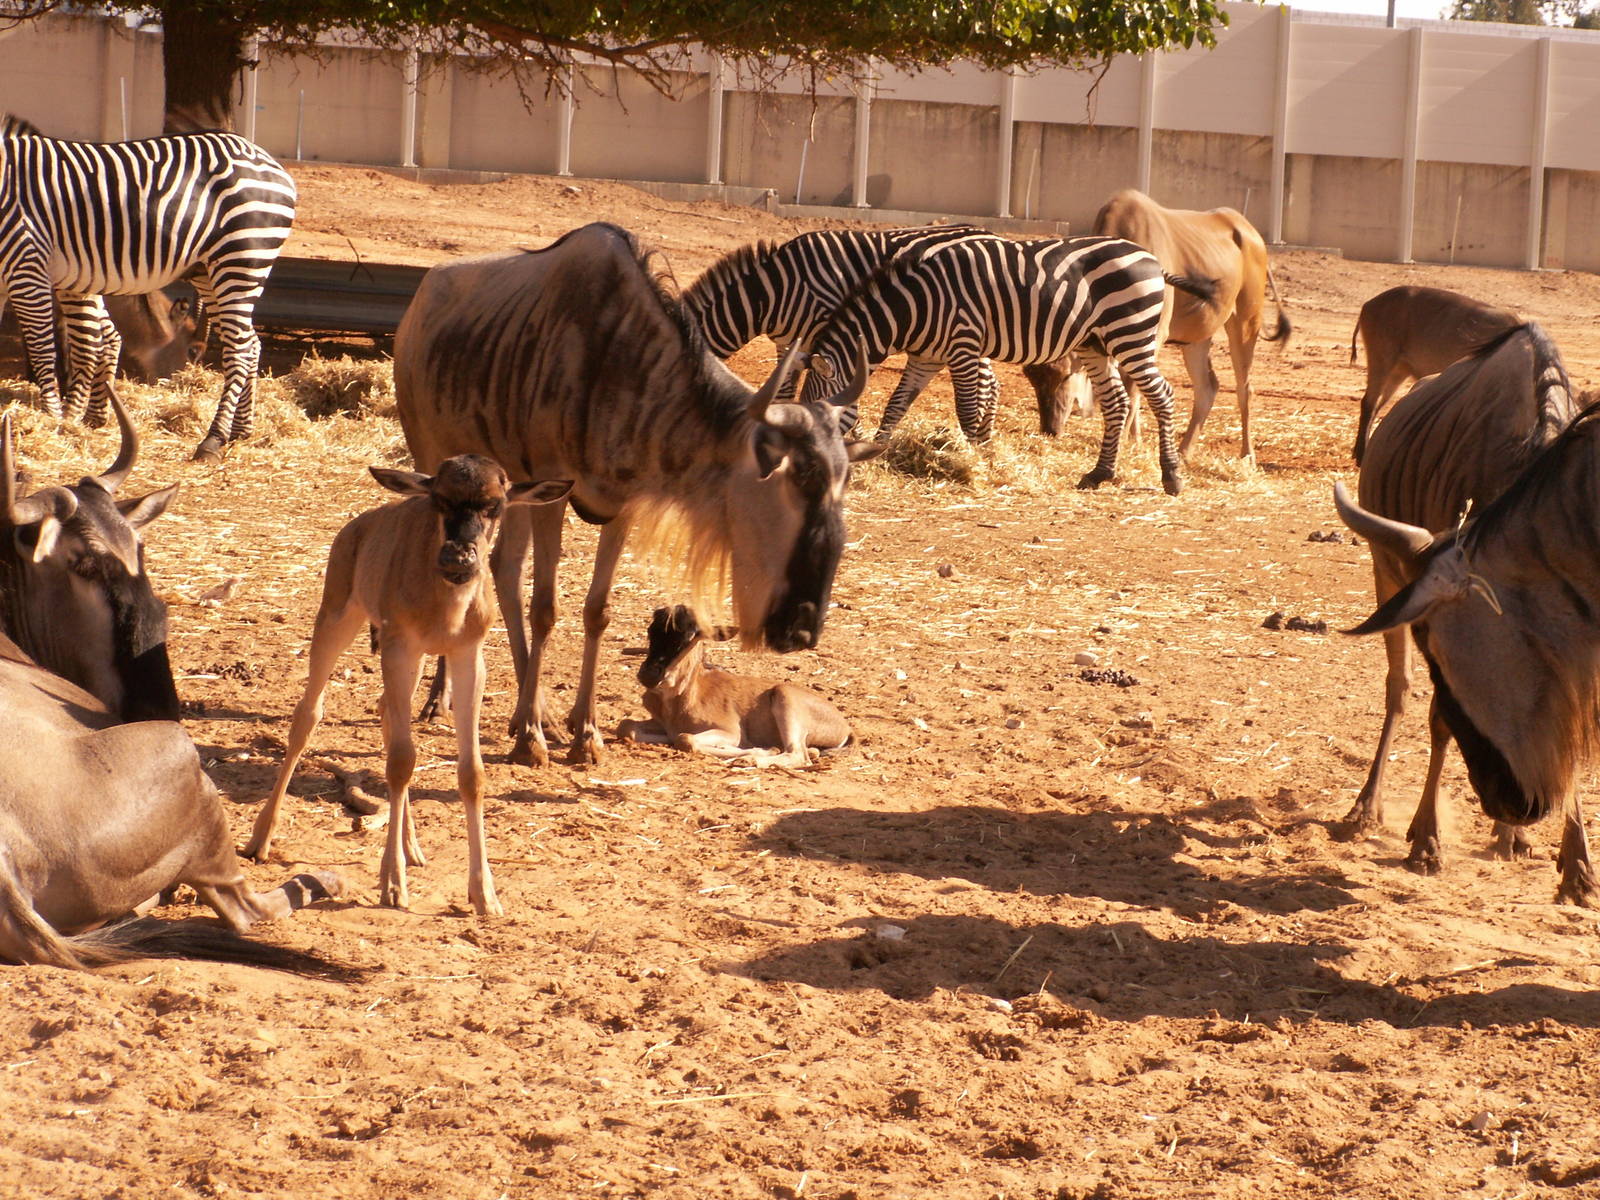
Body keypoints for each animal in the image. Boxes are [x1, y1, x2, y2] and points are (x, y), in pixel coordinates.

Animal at [243, 456, 572, 917]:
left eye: (496, 504)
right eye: (440, 499)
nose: (458, 556)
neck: (446, 609)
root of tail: (357, 527)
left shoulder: (468, 654)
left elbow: (470, 771)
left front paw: (485, 894)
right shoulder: (400, 645)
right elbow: (400, 760)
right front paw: (393, 885)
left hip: (408, 659)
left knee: (384, 711)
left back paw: (413, 846)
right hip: (338, 617)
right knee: (309, 715)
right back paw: (260, 839)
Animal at [618, 606, 851, 768]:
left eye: (690, 636)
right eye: (651, 630)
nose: (649, 675)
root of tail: (844, 726)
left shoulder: (731, 731)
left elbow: (685, 738)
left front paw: (759, 749)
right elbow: (627, 727)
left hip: (785, 699)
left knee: (797, 754)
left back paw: (752, 759)